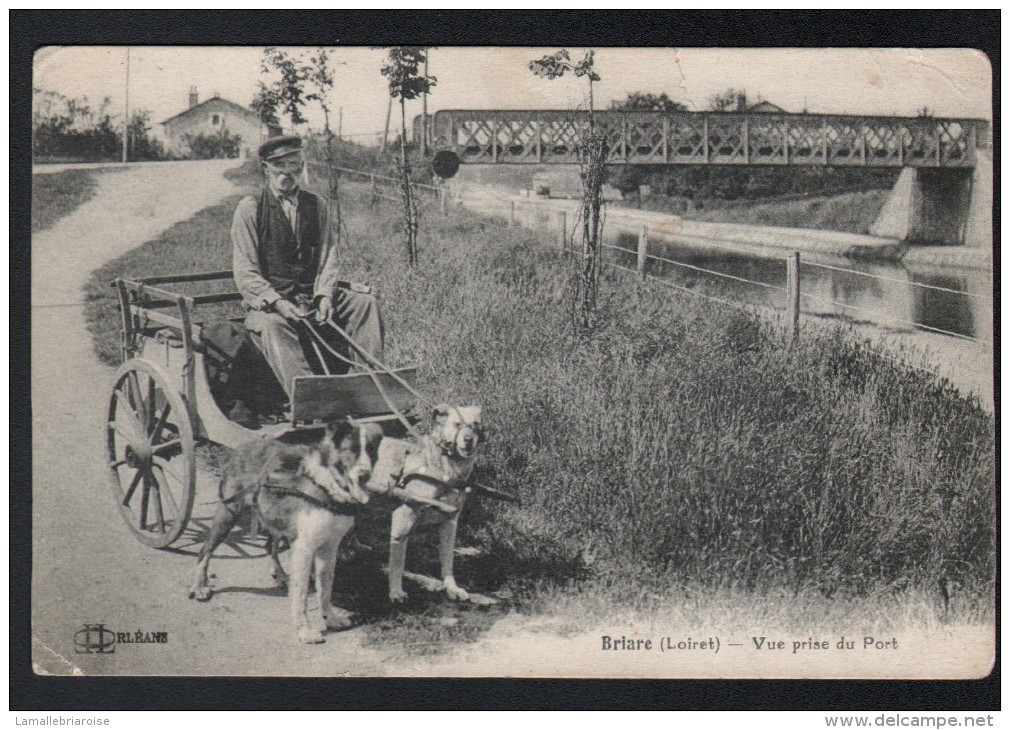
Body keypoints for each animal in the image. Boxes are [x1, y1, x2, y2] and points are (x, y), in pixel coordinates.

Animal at [188, 422, 381, 646]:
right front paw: (305, 630)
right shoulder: (305, 548)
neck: (324, 483)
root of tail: (245, 444)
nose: (364, 475)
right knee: (205, 549)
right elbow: (301, 593)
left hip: (274, 519)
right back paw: (199, 586)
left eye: (372, 450)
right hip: (228, 512)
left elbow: (325, 587)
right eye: (351, 449)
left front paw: (330, 618)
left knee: (268, 546)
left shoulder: (329, 546)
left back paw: (279, 575)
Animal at [369, 401, 482, 601]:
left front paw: (452, 588)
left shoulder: (450, 523)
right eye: (457, 424)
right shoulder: (402, 518)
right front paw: (395, 591)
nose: (468, 440)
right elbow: (397, 562)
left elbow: (448, 560)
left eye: (476, 425)